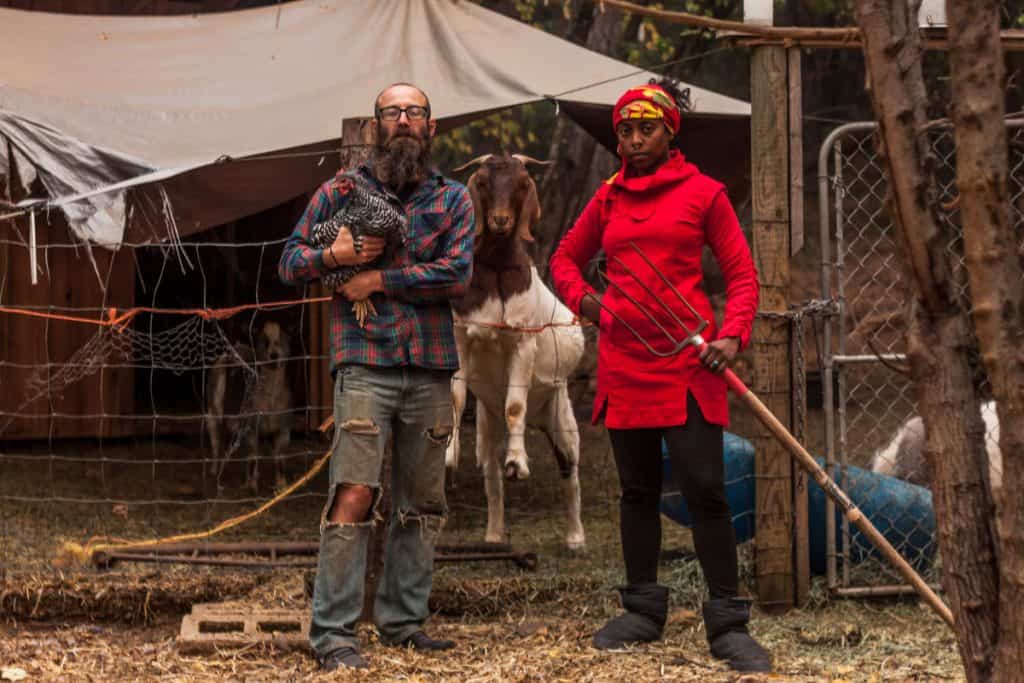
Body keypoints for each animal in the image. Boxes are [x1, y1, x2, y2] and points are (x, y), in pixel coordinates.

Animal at [203, 321, 292, 491]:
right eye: (263, 340)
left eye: (281, 339)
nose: (274, 356)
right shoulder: (249, 428)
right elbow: (252, 457)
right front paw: (251, 486)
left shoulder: (281, 428)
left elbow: (280, 460)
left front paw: (282, 486)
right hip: (213, 411)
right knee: (216, 440)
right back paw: (215, 471)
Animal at [446, 153, 585, 548]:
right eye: (482, 182)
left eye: (523, 183)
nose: (500, 221)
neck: (495, 270)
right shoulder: (460, 336)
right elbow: (457, 396)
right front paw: (449, 453)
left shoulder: (523, 340)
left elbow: (515, 405)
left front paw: (519, 463)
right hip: (488, 422)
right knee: (490, 474)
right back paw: (494, 535)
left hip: (559, 412)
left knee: (569, 468)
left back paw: (575, 537)